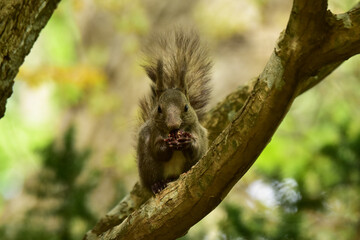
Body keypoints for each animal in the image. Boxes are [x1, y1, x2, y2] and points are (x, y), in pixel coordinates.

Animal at [137, 29, 211, 194]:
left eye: (186, 107)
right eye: (159, 109)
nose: (173, 125)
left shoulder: (195, 130)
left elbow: (195, 150)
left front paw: (188, 142)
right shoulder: (154, 133)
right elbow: (158, 150)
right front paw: (167, 145)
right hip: (149, 166)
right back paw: (158, 185)